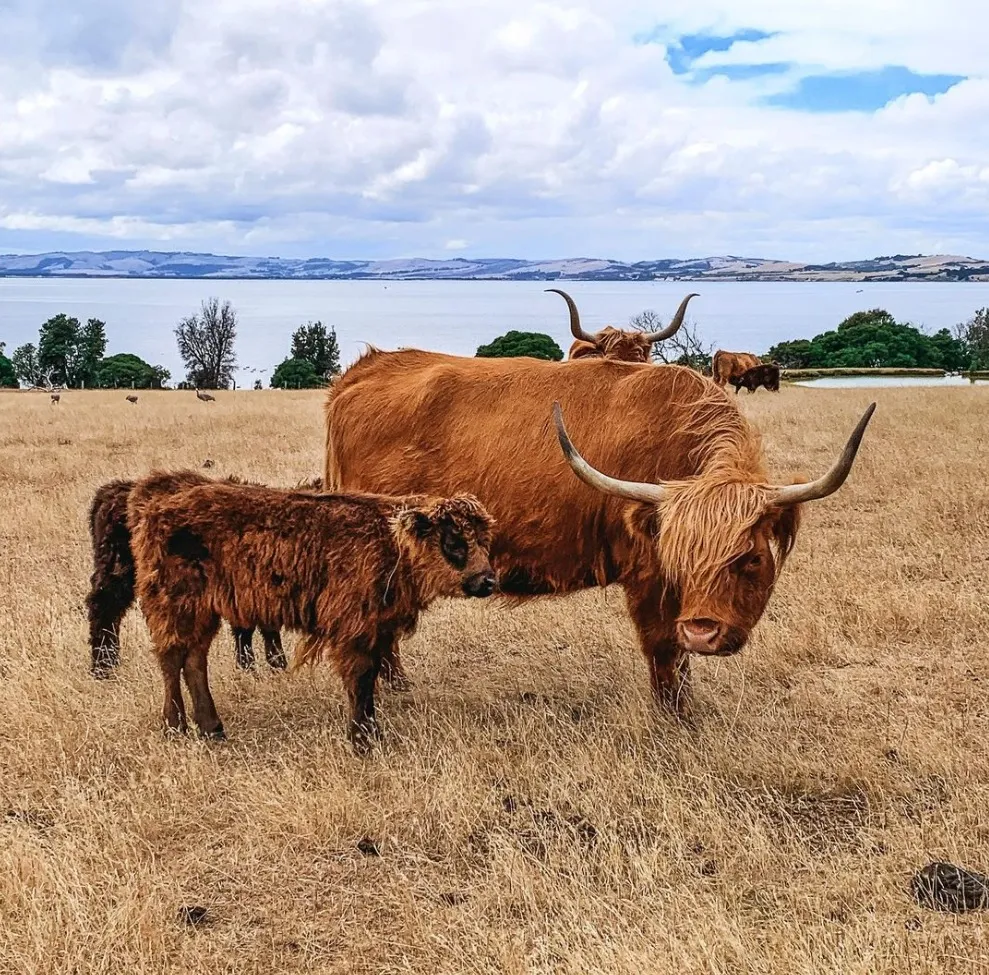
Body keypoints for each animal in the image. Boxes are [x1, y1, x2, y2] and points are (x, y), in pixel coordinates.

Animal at [85, 472, 322, 680]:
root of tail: (112, 492)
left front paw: (255, 668)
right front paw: (272, 666)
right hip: (119, 570)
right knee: (103, 608)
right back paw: (102, 668)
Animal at [127, 476, 498, 752]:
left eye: (484, 540)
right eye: (454, 542)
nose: (488, 580)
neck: (390, 540)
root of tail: (156, 506)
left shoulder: (377, 630)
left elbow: (370, 678)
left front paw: (368, 733)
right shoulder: (354, 630)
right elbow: (361, 680)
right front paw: (363, 740)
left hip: (202, 613)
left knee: (193, 661)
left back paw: (212, 728)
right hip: (176, 606)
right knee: (171, 660)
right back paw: (174, 726)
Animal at [328, 350, 876, 716]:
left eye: (751, 559)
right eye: (676, 558)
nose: (703, 631)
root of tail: (367, 369)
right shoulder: (647, 575)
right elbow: (664, 650)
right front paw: (677, 718)